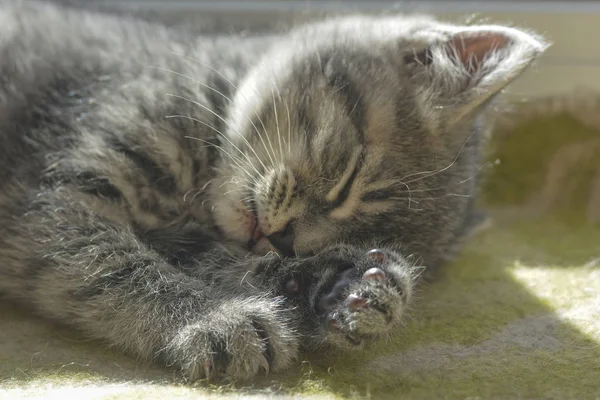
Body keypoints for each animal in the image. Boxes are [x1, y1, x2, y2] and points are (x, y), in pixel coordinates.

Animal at [0, 0, 548, 382]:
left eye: (361, 235)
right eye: (348, 179)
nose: (284, 241)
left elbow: (218, 257)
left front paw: (337, 282)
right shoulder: (53, 200)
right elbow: (114, 266)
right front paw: (216, 319)